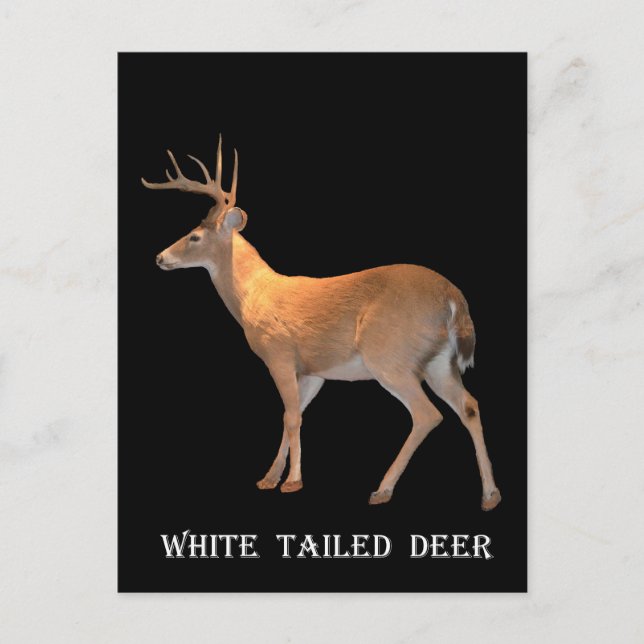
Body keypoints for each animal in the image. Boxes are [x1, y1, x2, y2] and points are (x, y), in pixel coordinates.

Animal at [141, 135, 502, 510]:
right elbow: (292, 416)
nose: (160, 257)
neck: (253, 296)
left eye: (194, 236)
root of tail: (453, 298)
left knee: (427, 414)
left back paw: (382, 489)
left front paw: (292, 482)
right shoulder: (314, 370)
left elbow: (291, 416)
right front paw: (269, 478)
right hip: (438, 362)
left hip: (390, 358)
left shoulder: (279, 355)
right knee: (469, 406)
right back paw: (490, 495)